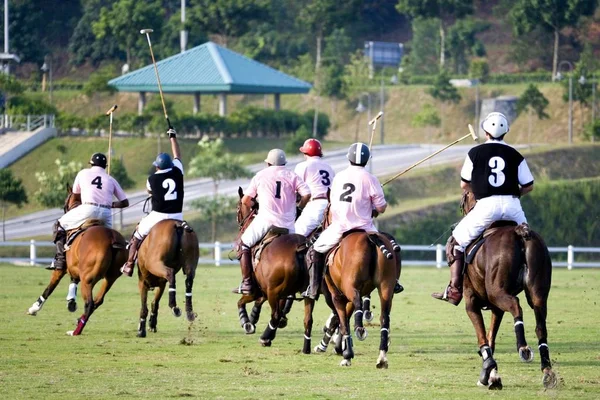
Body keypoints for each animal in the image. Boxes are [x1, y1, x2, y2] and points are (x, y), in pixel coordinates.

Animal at [27, 186, 128, 336]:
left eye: (65, 200)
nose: (64, 208)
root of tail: (112, 240)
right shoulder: (75, 268)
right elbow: (73, 281)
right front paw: (71, 302)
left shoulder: (62, 269)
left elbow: (50, 287)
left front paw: (34, 308)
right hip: (110, 278)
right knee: (98, 300)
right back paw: (79, 321)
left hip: (88, 279)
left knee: (90, 303)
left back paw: (76, 331)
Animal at [237, 188, 316, 354]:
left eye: (238, 208)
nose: (240, 225)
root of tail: (299, 248)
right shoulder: (268, 291)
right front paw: (252, 319)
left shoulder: (257, 290)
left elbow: (241, 301)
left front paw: (247, 322)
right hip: (307, 291)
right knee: (308, 319)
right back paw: (306, 347)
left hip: (274, 291)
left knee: (275, 314)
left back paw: (265, 338)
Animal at [316, 205, 400, 368]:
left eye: (325, 213)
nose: (321, 226)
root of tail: (370, 238)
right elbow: (341, 319)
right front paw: (339, 346)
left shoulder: (337, 295)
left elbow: (342, 321)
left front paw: (345, 353)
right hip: (386, 287)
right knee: (384, 317)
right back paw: (382, 356)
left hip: (351, 287)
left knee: (358, 304)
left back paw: (359, 328)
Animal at [460, 191, 556, 390]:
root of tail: (520, 233)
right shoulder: (496, 307)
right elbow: (490, 337)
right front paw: (493, 375)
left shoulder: (471, 300)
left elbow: (483, 337)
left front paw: (488, 374)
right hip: (538, 292)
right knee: (540, 325)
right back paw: (547, 371)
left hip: (497, 291)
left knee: (515, 305)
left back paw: (523, 347)